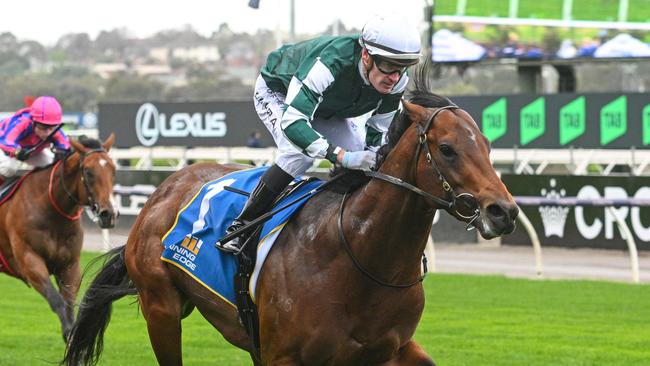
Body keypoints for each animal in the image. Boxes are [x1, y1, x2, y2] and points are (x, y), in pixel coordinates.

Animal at [0, 134, 116, 340]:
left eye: (113, 170)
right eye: (88, 171)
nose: (108, 214)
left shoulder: (70, 265)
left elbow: (69, 305)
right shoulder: (29, 261)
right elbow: (57, 301)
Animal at [62, 73, 516, 364]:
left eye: (488, 145)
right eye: (447, 149)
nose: (505, 212)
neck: (359, 257)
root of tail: (164, 190)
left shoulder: (392, 350)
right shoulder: (284, 355)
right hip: (162, 308)